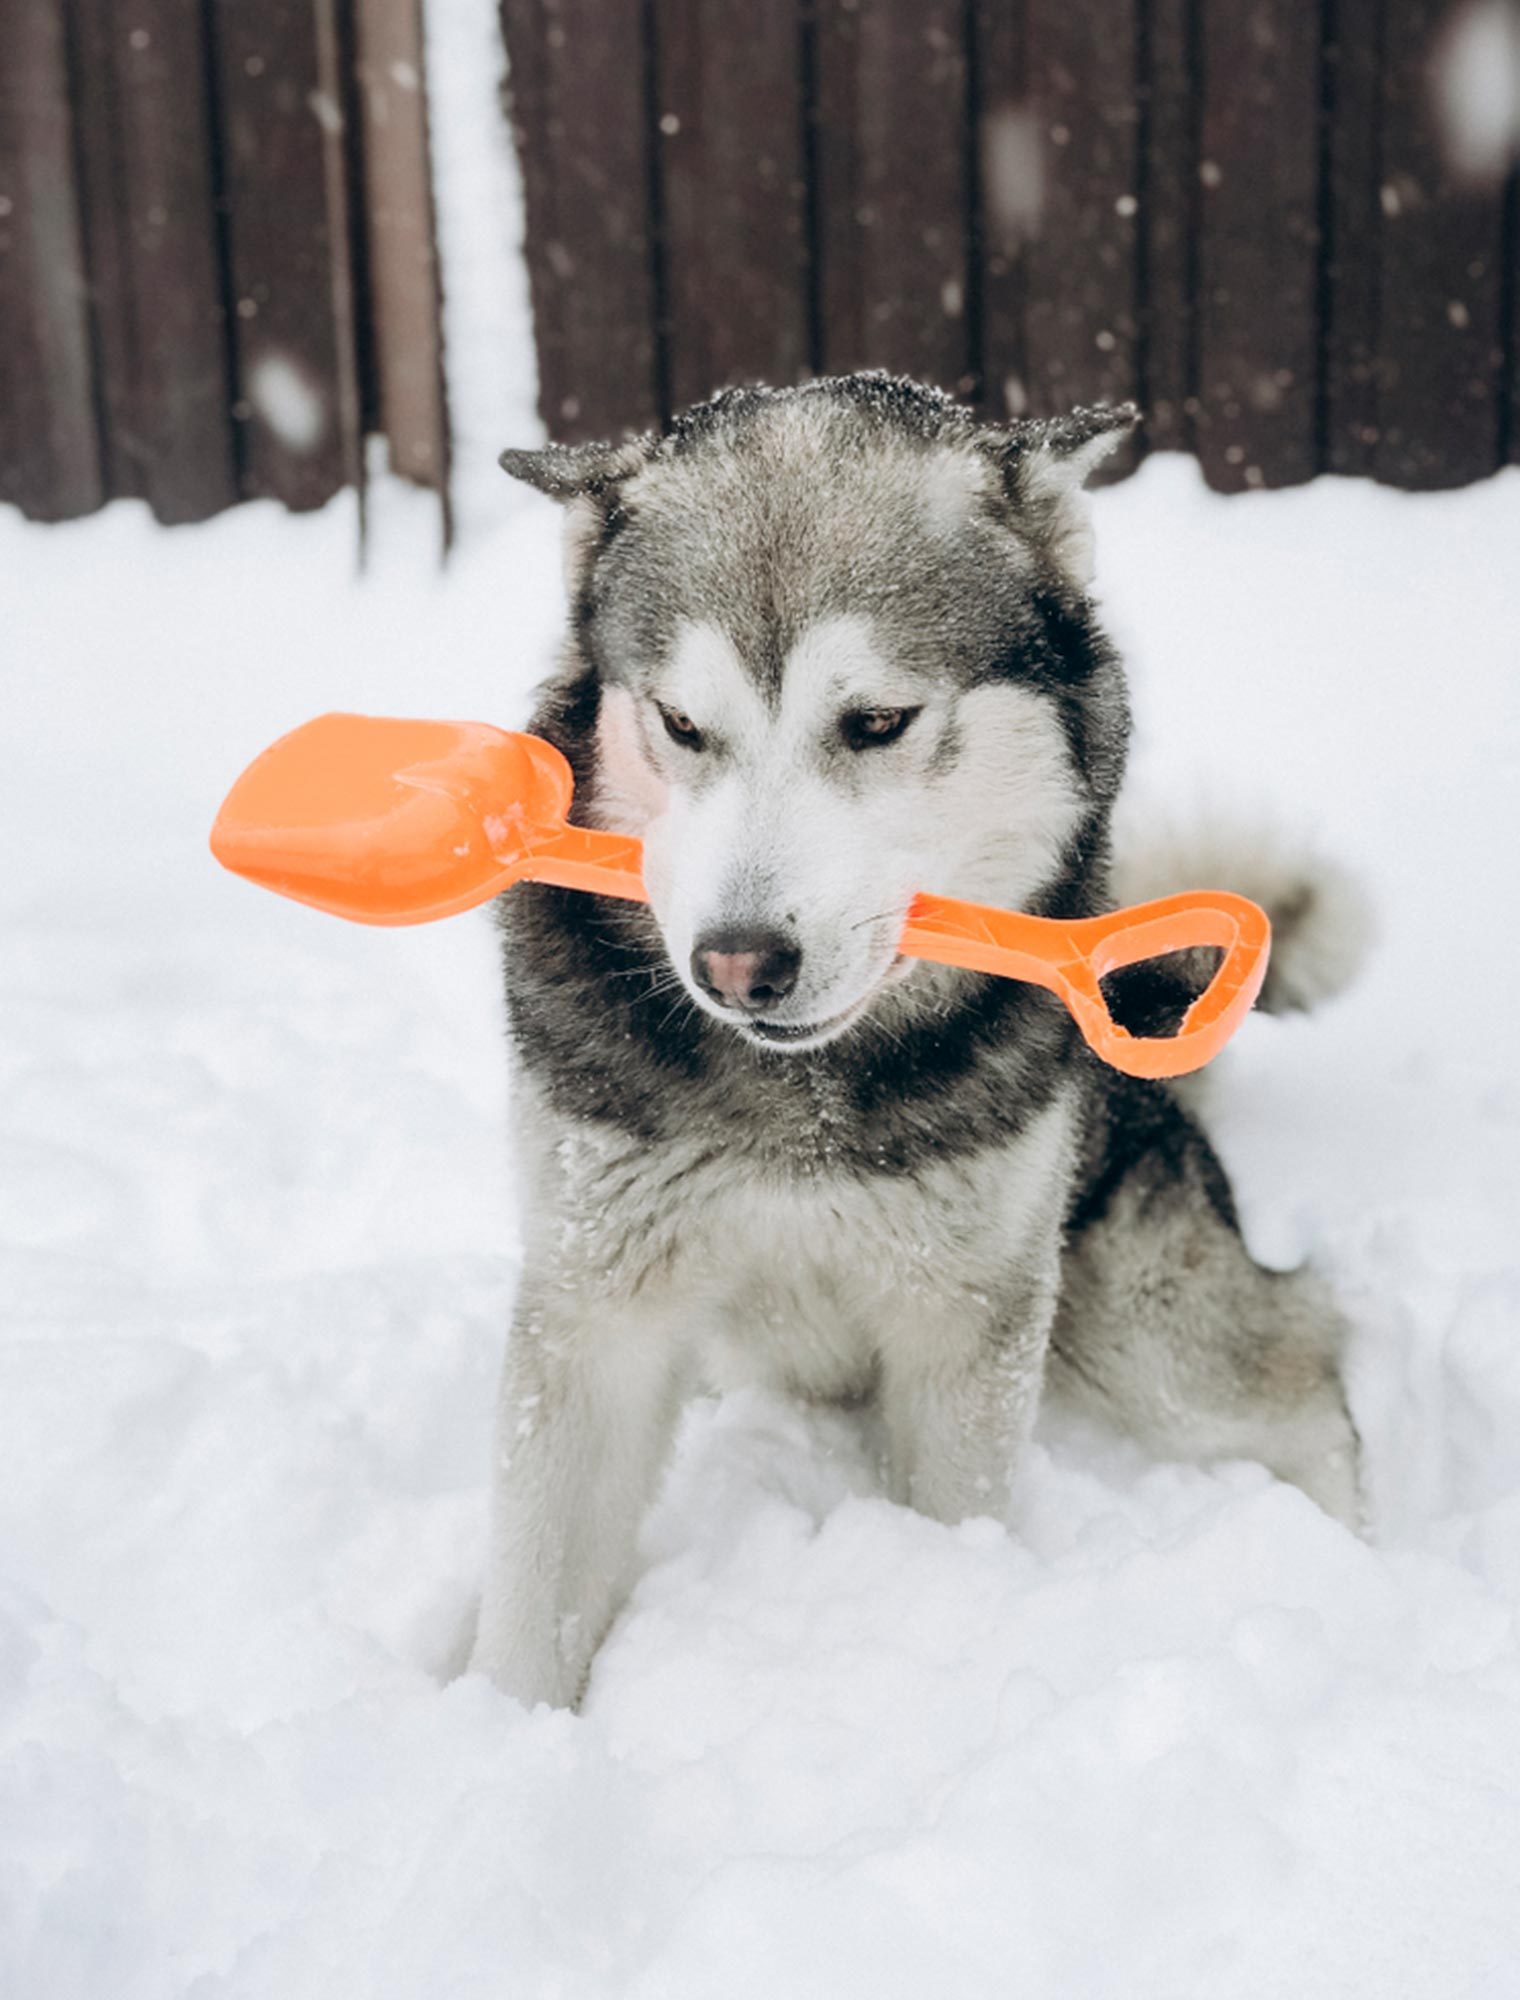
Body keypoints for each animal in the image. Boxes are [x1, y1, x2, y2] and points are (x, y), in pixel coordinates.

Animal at [470, 372, 1360, 1704]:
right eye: (678, 722)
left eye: (876, 720)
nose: (735, 962)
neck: (792, 1103)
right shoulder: (599, 1309)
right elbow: (531, 1610)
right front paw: (494, 1732)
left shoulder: (964, 1323)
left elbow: (954, 1514)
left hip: (1136, 1322)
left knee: (1304, 1372)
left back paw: (1369, 1565)